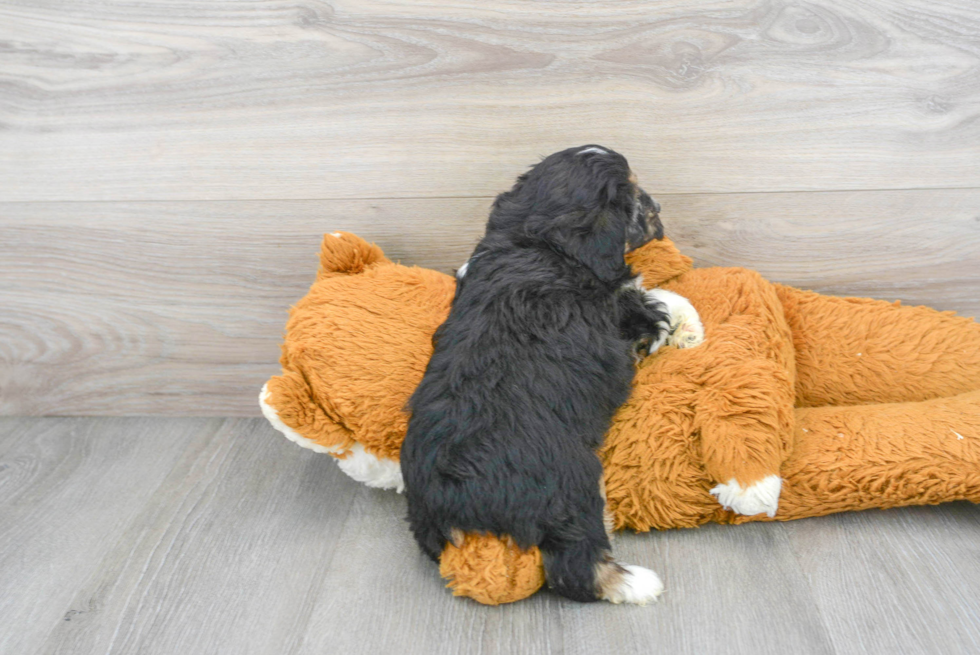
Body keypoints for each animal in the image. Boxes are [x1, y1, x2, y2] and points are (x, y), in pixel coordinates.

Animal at [400, 145, 696, 604]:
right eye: (633, 197)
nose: (659, 209)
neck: (538, 237)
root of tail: (456, 499)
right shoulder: (622, 311)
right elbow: (660, 297)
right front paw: (691, 328)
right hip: (571, 481)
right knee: (576, 568)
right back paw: (636, 582)